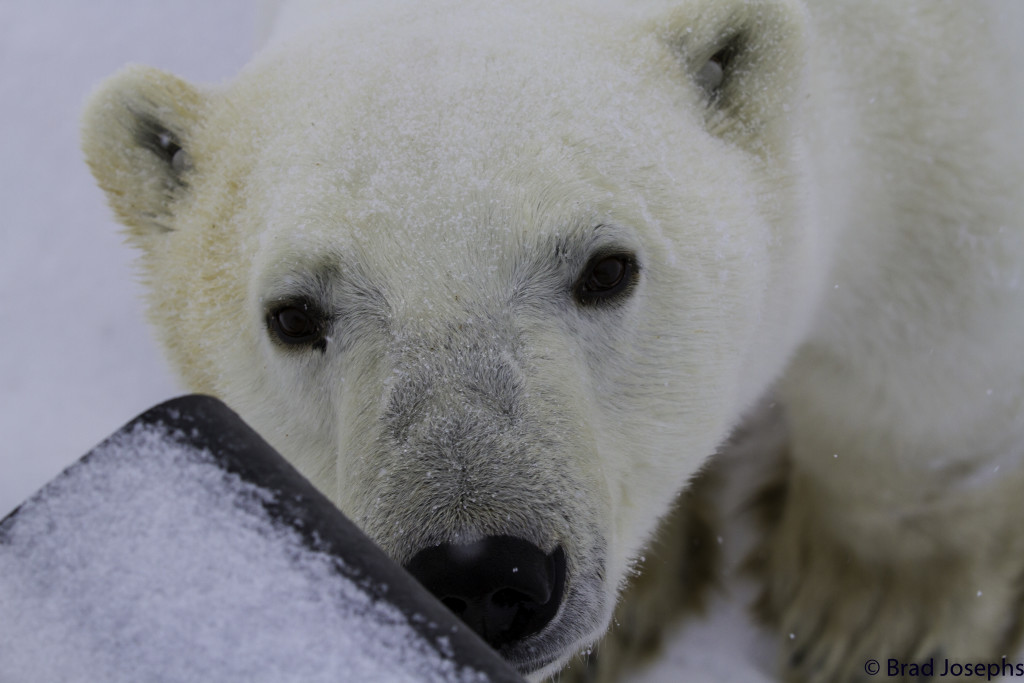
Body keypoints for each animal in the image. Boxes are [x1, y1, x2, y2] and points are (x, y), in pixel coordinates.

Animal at [81, 0, 1024, 680]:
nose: (479, 571)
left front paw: (869, 613)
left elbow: (928, 362)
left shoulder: (935, 115)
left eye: (607, 269)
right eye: (294, 315)